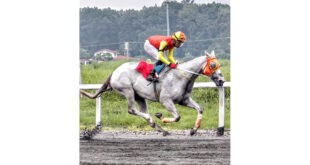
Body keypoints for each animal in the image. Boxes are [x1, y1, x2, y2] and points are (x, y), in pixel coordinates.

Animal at [80, 51, 225, 136]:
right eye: (213, 65)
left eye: (219, 65)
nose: (222, 80)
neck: (181, 77)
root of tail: (114, 72)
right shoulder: (165, 100)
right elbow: (177, 117)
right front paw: (160, 115)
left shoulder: (184, 100)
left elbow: (200, 109)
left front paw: (193, 130)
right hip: (128, 91)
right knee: (132, 110)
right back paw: (154, 121)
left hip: (139, 96)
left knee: (142, 111)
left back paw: (160, 128)